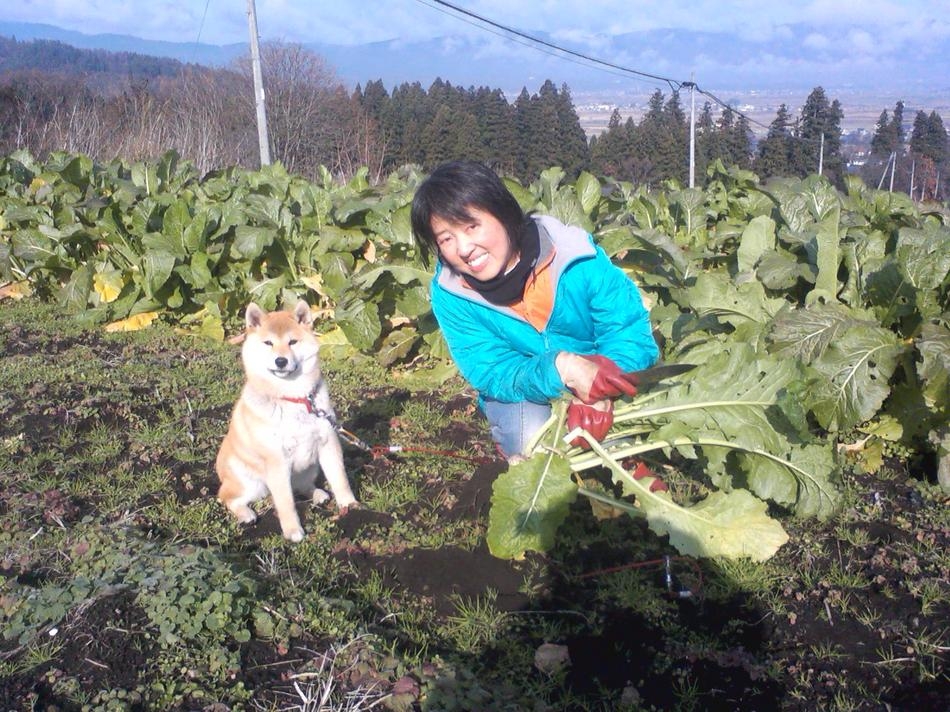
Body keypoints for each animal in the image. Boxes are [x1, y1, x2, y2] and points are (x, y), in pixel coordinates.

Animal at [216, 298, 356, 540]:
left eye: (292, 342)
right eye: (268, 343)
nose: (280, 360)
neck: (295, 398)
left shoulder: (328, 442)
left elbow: (340, 479)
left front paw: (350, 505)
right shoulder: (277, 460)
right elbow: (285, 502)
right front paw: (293, 530)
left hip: (309, 467)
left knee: (302, 486)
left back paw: (318, 494)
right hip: (249, 482)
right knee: (228, 497)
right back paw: (245, 514)